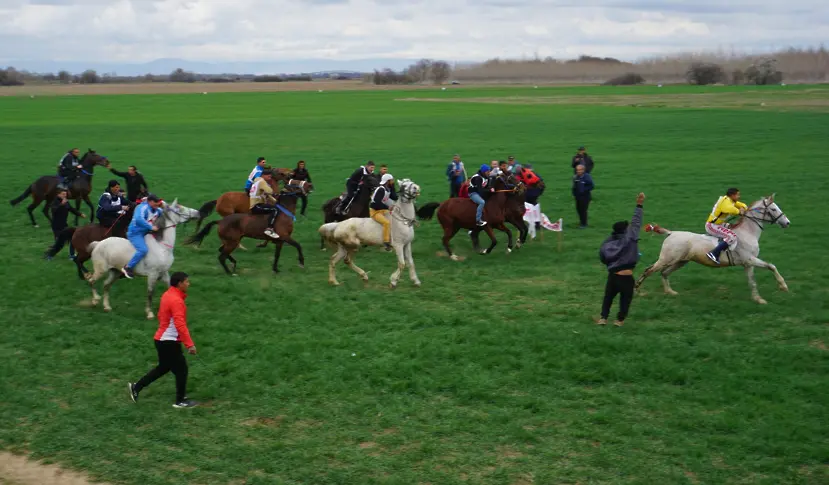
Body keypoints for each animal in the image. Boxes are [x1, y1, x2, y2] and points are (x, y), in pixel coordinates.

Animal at [636, 193, 792, 302]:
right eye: (773, 208)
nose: (787, 223)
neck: (748, 233)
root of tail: (671, 233)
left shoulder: (748, 264)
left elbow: (752, 281)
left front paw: (758, 299)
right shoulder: (750, 259)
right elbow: (771, 266)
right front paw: (783, 286)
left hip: (680, 261)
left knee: (664, 273)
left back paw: (670, 292)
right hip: (667, 259)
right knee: (649, 270)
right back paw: (638, 290)